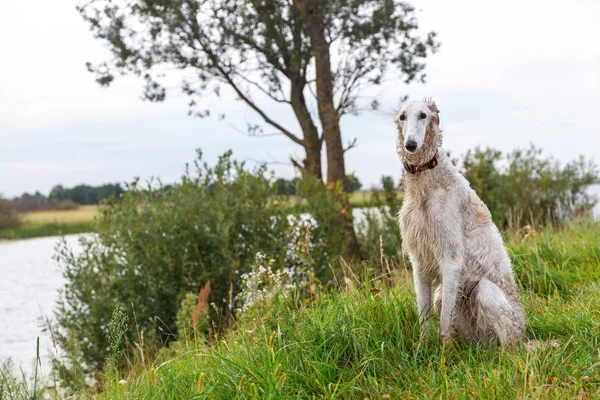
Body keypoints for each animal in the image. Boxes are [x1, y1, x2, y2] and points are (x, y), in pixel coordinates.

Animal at [398, 98, 524, 346]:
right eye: (402, 116)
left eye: (423, 115)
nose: (411, 145)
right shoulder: (419, 260)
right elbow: (424, 316)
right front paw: (422, 348)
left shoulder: (451, 259)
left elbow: (444, 324)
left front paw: (443, 355)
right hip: (452, 304)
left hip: (487, 294)